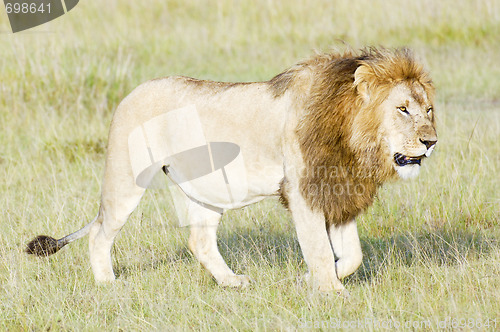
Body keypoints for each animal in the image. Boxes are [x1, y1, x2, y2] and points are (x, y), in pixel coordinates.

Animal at [26, 46, 438, 294]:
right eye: (402, 109)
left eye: (428, 109)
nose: (431, 142)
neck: (355, 142)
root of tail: (130, 93)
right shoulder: (303, 191)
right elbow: (320, 249)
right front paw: (332, 292)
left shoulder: (338, 189)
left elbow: (352, 256)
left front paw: (308, 278)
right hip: (126, 180)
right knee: (99, 232)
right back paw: (108, 285)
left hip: (204, 189)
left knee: (200, 241)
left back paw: (231, 282)